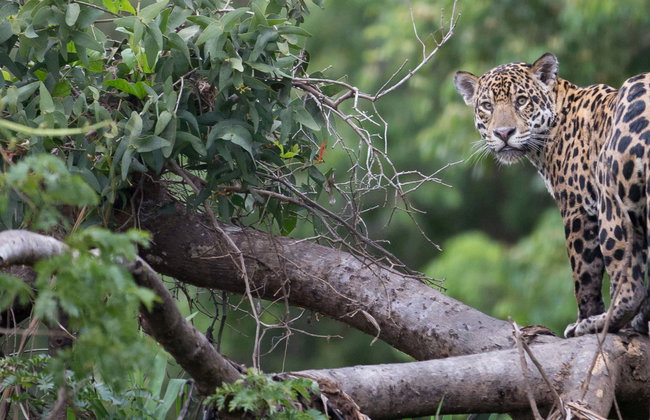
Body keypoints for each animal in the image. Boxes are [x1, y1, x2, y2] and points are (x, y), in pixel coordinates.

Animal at [454, 53, 650, 337]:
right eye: (487, 106)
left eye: (521, 100)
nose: (503, 133)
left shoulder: (578, 208)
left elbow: (585, 276)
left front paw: (583, 319)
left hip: (611, 202)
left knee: (630, 287)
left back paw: (596, 324)